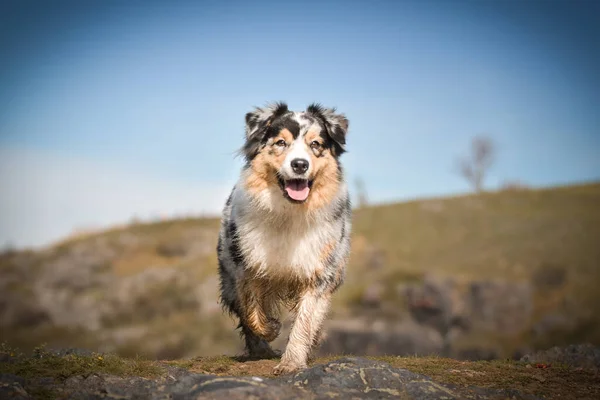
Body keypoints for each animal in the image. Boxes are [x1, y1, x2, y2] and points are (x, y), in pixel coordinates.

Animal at [217, 101, 352, 376]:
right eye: (281, 142)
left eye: (316, 144)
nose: (300, 164)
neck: (289, 213)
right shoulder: (246, 266)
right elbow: (252, 311)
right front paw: (271, 329)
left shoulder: (319, 272)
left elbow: (305, 321)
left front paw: (292, 362)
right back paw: (260, 349)